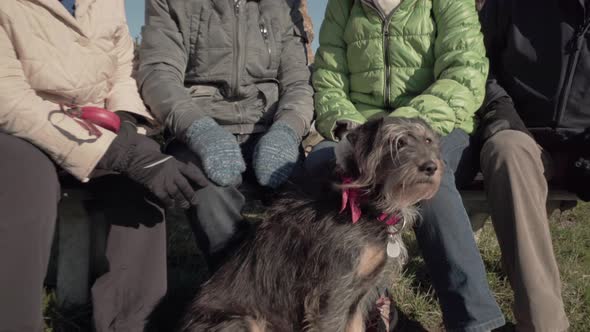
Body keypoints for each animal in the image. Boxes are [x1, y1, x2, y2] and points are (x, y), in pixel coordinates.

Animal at [183, 116, 442, 332]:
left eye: (428, 140)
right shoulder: (332, 294)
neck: (366, 202)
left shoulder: (359, 297)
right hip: (245, 321)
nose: (431, 166)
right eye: (397, 143)